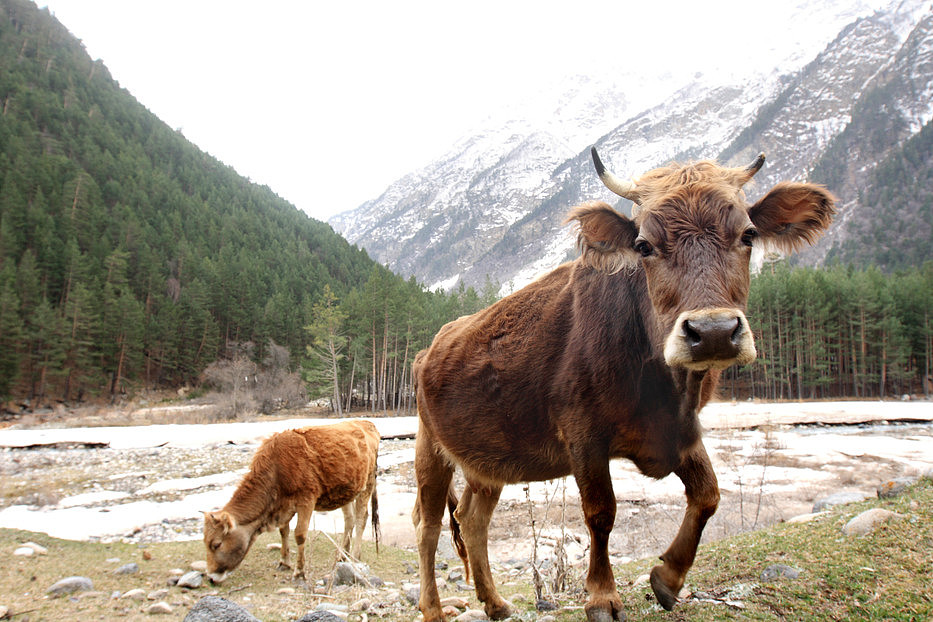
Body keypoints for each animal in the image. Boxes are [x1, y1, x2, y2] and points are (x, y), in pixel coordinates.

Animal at [203, 420, 378, 584]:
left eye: (216, 544)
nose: (211, 577)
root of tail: (365, 423)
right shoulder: (284, 506)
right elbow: (283, 531)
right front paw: (284, 562)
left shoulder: (306, 500)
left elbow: (299, 534)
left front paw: (299, 572)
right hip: (346, 490)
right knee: (349, 520)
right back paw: (342, 555)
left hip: (368, 483)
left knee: (361, 519)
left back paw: (354, 557)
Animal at [412, 149, 832, 620]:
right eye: (644, 245)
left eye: (748, 234)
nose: (713, 331)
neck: (664, 387)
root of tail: (433, 345)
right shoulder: (584, 437)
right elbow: (601, 514)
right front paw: (602, 596)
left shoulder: (681, 432)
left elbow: (708, 495)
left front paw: (668, 577)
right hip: (430, 449)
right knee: (429, 528)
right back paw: (433, 608)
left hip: (488, 460)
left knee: (472, 519)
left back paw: (495, 602)